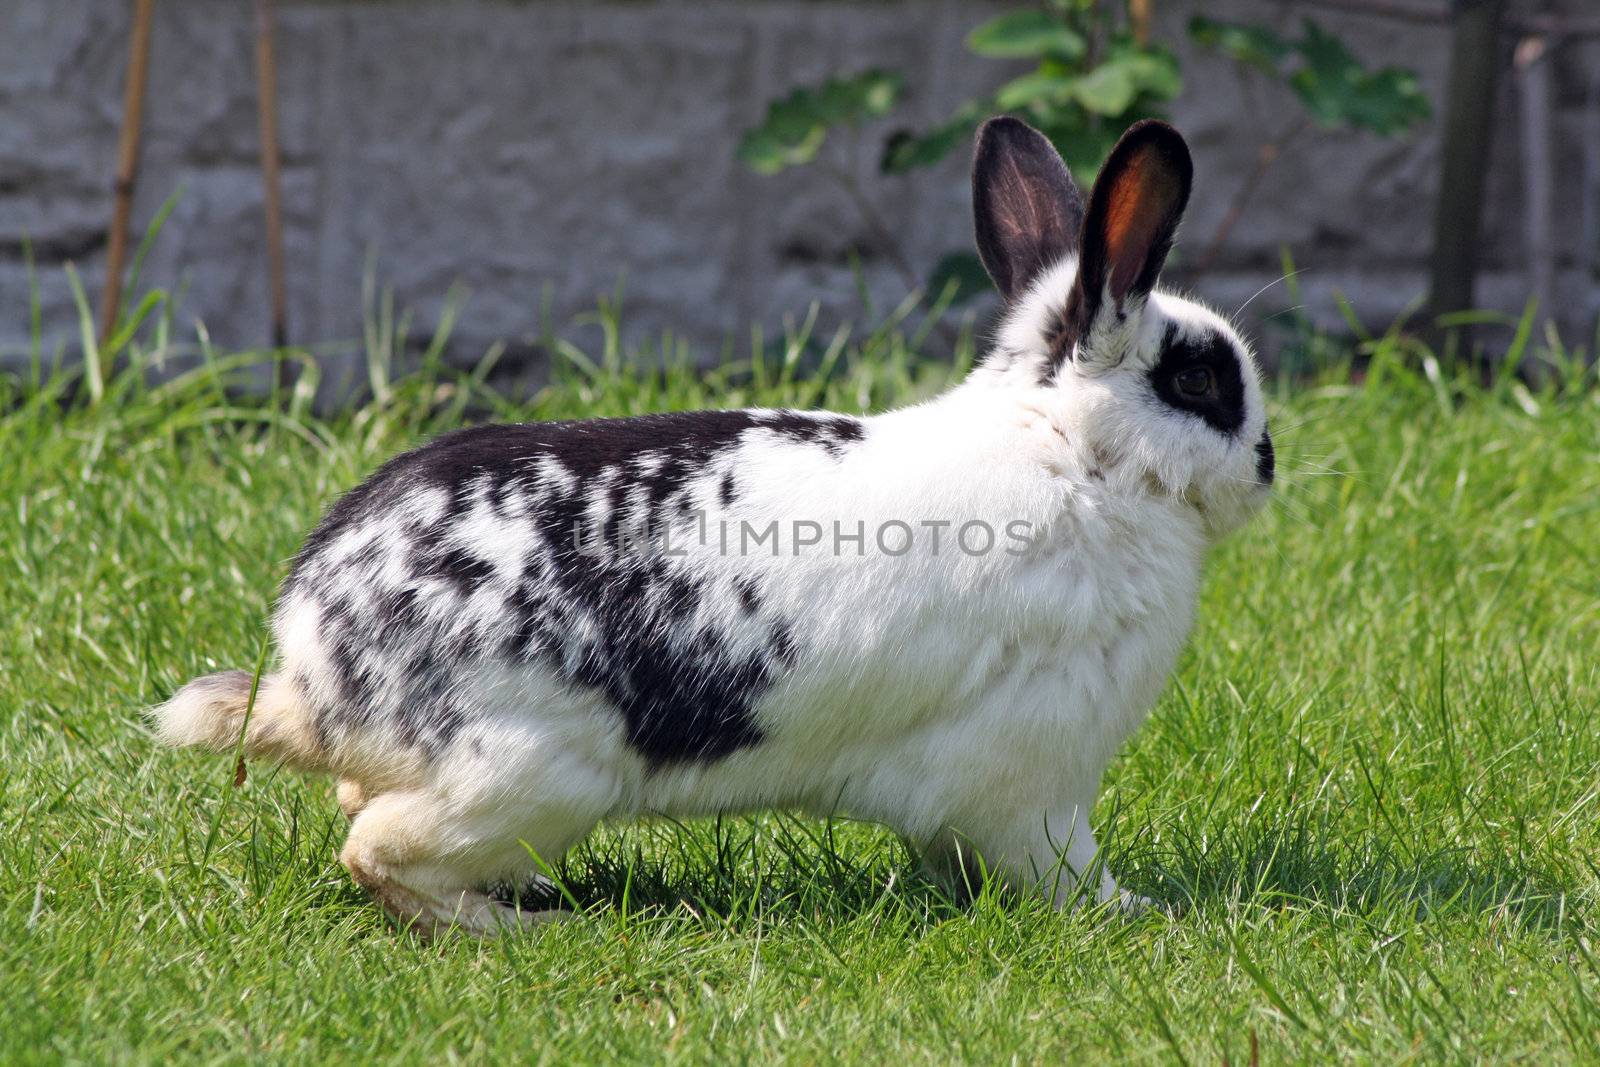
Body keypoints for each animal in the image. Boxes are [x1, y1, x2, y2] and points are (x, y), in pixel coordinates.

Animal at [150, 115, 1273, 934]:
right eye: (1202, 380)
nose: (1267, 465)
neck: (1074, 453)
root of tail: (316, 666)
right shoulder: (1034, 779)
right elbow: (1057, 867)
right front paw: (1142, 914)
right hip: (535, 778)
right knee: (377, 847)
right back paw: (530, 928)